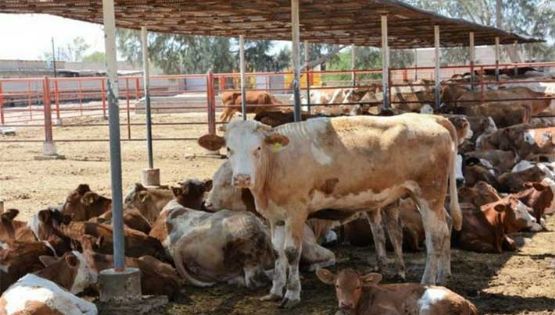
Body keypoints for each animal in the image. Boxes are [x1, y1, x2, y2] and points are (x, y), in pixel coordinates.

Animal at [199, 113, 460, 308]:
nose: (242, 178)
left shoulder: (296, 212)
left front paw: (292, 294)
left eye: (258, 148)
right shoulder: (274, 216)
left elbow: (291, 252)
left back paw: (427, 282)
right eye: (229, 149)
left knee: (435, 236)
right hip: (427, 198)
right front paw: (275, 290)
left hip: (429, 194)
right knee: (445, 227)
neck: (277, 163)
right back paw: (443, 275)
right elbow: (277, 252)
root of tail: (433, 120)